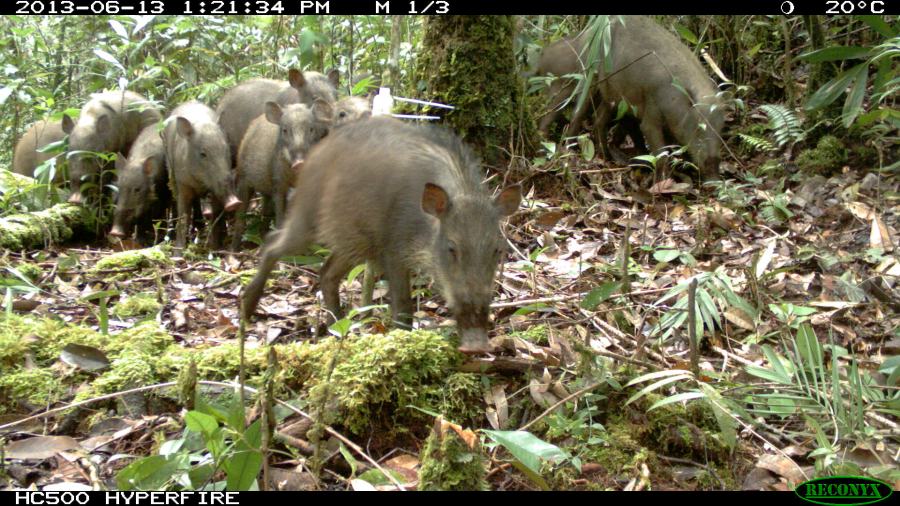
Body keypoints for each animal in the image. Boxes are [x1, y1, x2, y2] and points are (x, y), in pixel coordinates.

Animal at [162, 101, 241, 250]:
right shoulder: (183, 183)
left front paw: (215, 248)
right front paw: (179, 251)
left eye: (226, 150)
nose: (235, 202)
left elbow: (216, 216)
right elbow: (183, 216)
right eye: (203, 154)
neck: (200, 181)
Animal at [230, 101, 332, 251]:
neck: (294, 177)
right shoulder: (277, 183)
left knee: (265, 213)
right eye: (285, 130)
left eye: (311, 129)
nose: (299, 162)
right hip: (243, 180)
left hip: (264, 190)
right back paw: (234, 250)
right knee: (240, 219)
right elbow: (280, 216)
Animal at [241, 117, 521, 353]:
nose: (477, 345)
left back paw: (339, 326)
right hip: (307, 219)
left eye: (497, 249)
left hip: (354, 241)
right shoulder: (392, 248)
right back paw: (246, 308)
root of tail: (312, 158)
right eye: (452, 248)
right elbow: (403, 304)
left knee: (326, 273)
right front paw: (402, 341)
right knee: (271, 244)